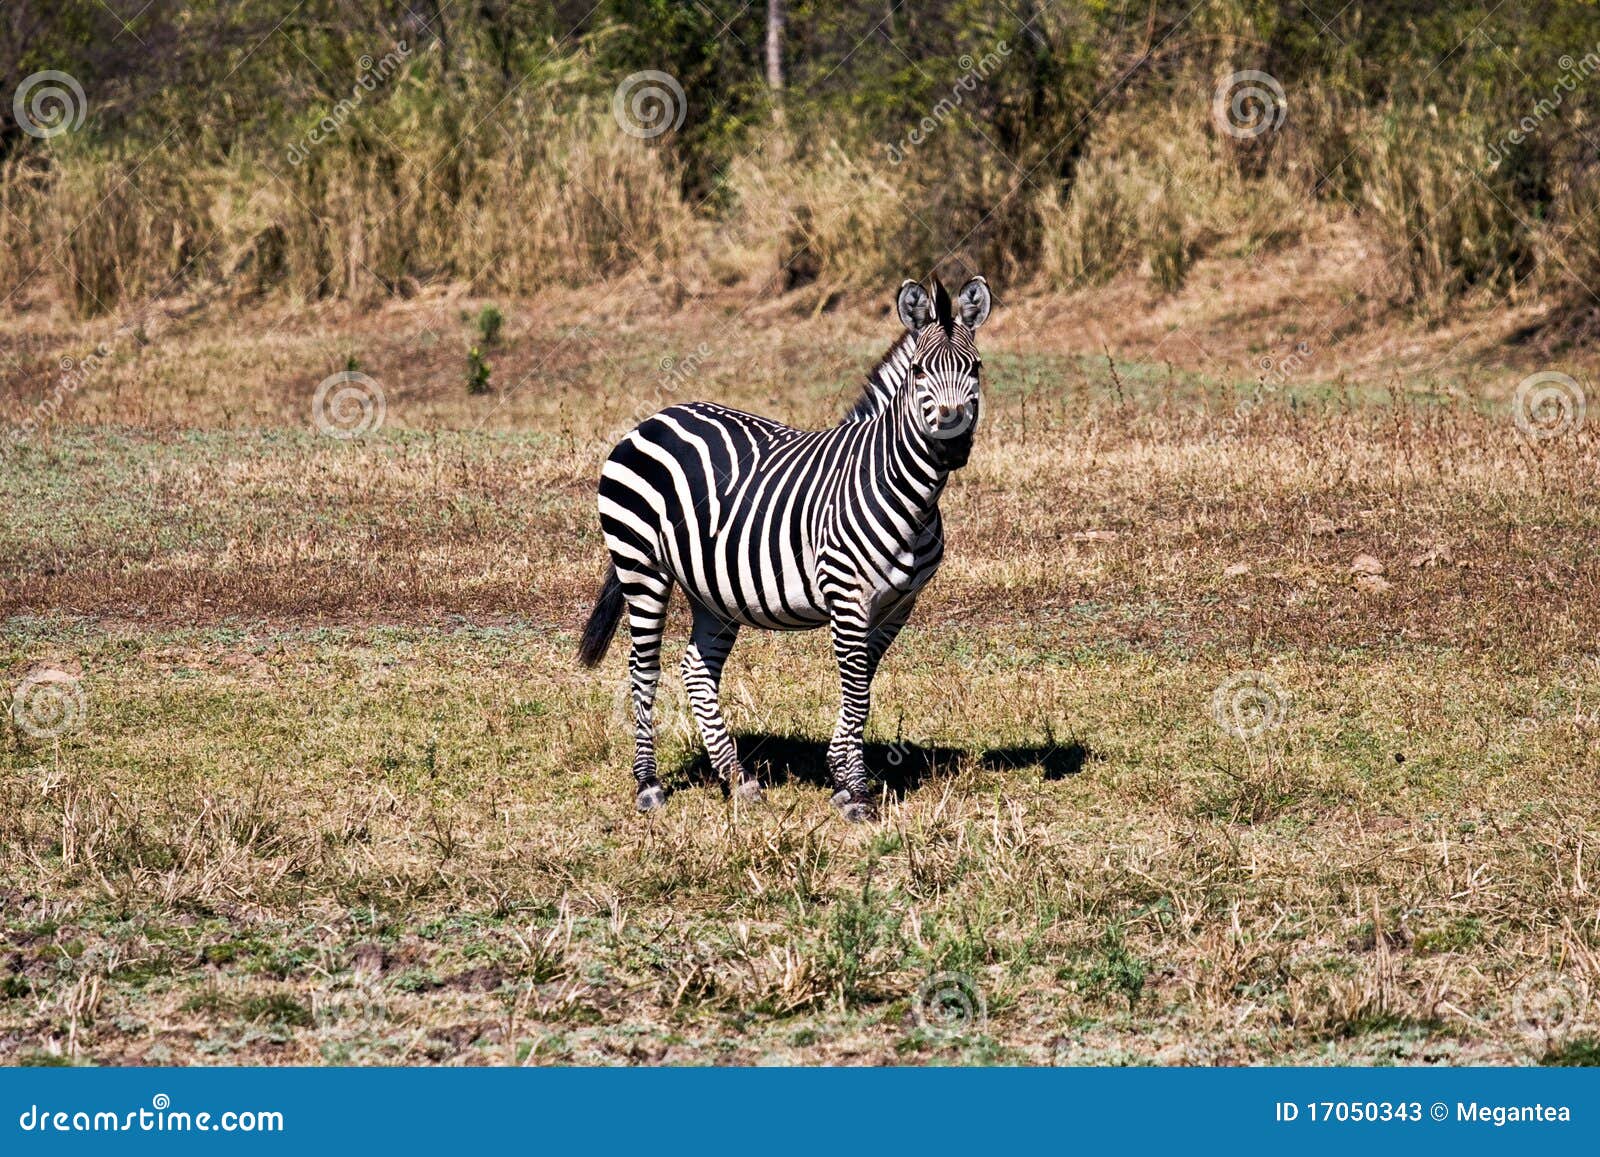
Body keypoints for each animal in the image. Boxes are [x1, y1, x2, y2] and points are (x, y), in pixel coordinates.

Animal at [577, 275, 992, 820]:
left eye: (975, 367)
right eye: (920, 371)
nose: (952, 444)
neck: (905, 489)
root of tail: (656, 417)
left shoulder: (898, 604)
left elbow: (862, 684)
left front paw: (841, 777)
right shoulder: (846, 595)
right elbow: (856, 687)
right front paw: (857, 793)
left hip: (712, 587)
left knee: (696, 668)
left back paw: (739, 779)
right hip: (640, 565)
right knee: (644, 670)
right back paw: (649, 784)